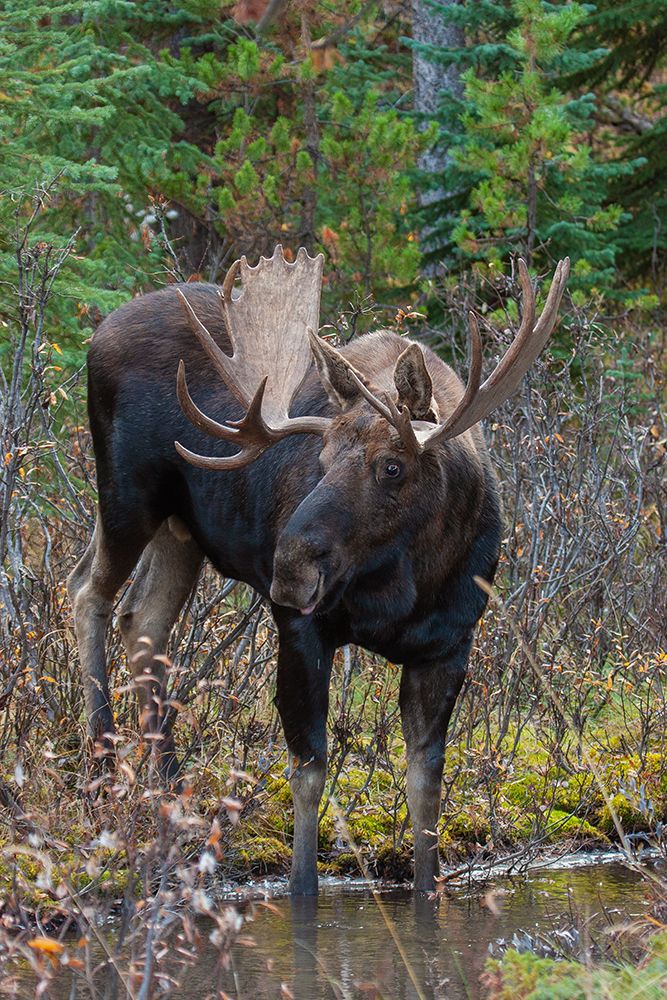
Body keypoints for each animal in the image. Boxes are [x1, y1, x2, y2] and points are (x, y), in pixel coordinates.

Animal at [68, 246, 569, 894]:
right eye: (323, 458)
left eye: (392, 466)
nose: (288, 569)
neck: (407, 586)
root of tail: (99, 332)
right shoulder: (302, 627)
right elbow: (308, 773)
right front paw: (302, 890)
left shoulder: (449, 644)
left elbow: (426, 791)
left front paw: (427, 891)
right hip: (128, 494)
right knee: (88, 590)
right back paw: (105, 769)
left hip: (183, 530)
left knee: (143, 618)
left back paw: (170, 792)